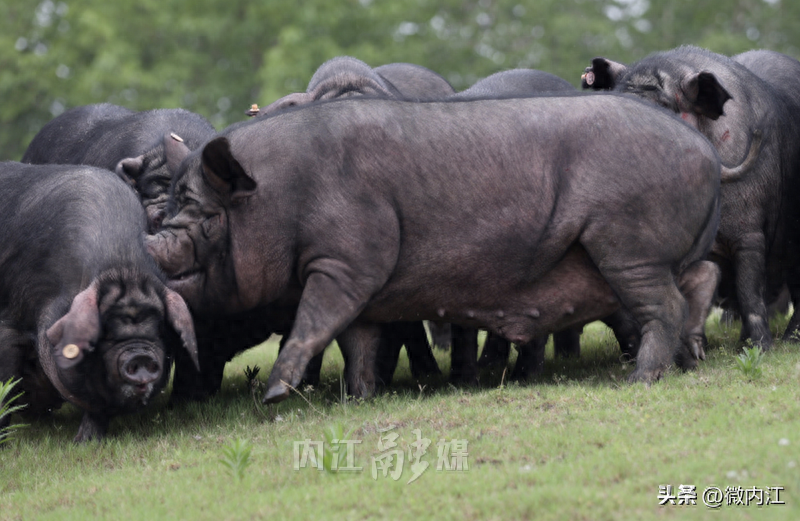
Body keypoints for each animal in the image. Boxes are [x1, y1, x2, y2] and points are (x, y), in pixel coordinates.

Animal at [0, 162, 198, 438]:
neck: (122, 265)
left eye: (160, 329)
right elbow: (5, 385)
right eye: (105, 332)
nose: (141, 356)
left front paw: (85, 441)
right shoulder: (9, 324)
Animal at [147, 94, 720, 402]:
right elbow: (357, 339)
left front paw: (274, 394)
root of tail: (705, 152)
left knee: (664, 304)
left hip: (627, 242)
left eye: (205, 217)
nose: (154, 236)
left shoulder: (347, 261)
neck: (287, 194)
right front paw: (359, 396)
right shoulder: (361, 284)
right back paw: (691, 359)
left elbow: (312, 322)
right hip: (658, 253)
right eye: (174, 205)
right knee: (700, 279)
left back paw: (640, 379)